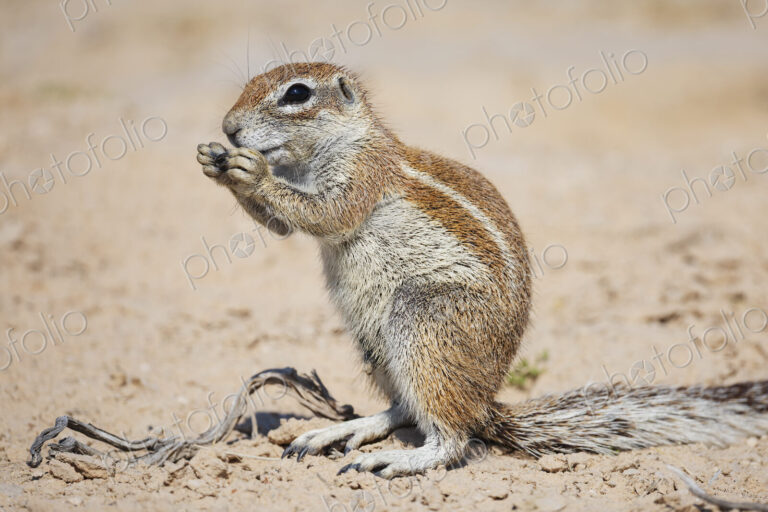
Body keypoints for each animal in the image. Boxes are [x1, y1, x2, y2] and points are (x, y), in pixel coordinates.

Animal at [197, 62, 768, 478]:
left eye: (296, 93)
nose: (228, 127)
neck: (343, 142)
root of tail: (485, 401)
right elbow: (282, 227)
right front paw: (216, 164)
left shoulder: (363, 175)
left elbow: (323, 214)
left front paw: (248, 169)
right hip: (374, 343)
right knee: (406, 408)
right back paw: (340, 430)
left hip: (422, 319)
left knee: (451, 437)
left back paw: (394, 457)